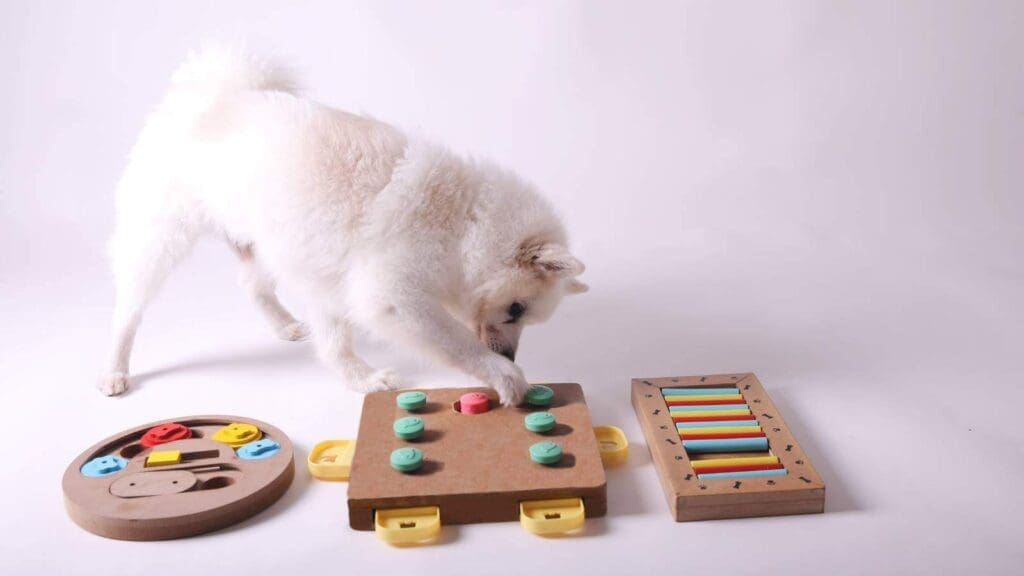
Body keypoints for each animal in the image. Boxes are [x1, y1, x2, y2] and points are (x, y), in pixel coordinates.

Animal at [101, 48, 593, 403]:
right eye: (516, 310)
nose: (509, 352)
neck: (464, 224)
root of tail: (212, 95)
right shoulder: (393, 297)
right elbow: (456, 343)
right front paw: (506, 376)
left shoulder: (330, 281)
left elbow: (334, 343)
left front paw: (361, 380)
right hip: (162, 239)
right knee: (128, 309)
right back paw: (114, 370)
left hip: (270, 244)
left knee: (252, 285)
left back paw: (284, 326)